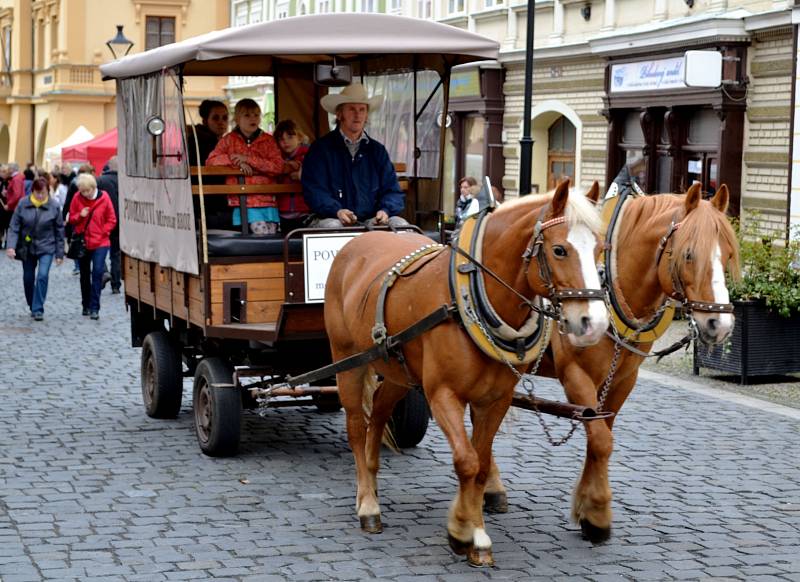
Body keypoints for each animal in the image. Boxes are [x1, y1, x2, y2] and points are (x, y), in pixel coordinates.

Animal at [324, 181, 608, 564]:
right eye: (560, 249)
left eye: (601, 247)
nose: (595, 324)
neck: (470, 301)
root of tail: (358, 241)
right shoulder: (443, 395)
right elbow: (467, 461)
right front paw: (464, 532)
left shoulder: (496, 398)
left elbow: (482, 462)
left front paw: (474, 530)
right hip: (348, 362)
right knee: (356, 425)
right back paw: (368, 503)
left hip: (399, 370)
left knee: (380, 411)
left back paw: (370, 475)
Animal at [482, 181, 736, 544]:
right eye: (689, 254)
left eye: (728, 255)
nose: (720, 325)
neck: (611, 284)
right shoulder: (575, 375)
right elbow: (601, 440)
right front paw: (598, 512)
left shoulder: (622, 380)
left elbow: (601, 435)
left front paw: (589, 509)